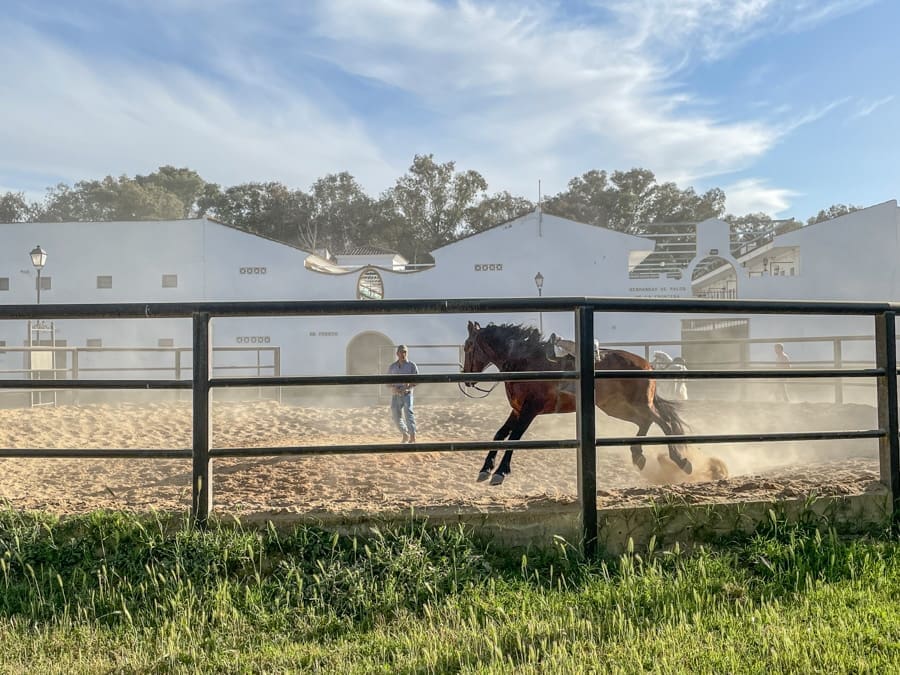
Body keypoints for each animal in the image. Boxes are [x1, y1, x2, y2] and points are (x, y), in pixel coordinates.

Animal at [460, 320, 692, 486]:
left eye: (468, 346)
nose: (467, 379)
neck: (525, 362)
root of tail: (646, 364)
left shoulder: (530, 410)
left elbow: (515, 438)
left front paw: (500, 472)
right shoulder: (517, 410)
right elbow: (499, 435)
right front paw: (485, 469)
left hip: (638, 404)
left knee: (663, 422)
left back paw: (681, 461)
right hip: (616, 407)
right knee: (645, 422)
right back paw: (639, 456)